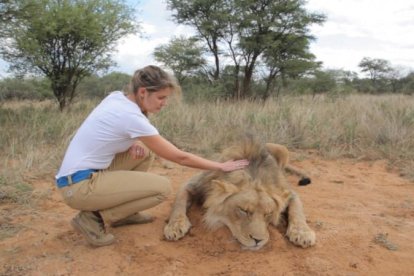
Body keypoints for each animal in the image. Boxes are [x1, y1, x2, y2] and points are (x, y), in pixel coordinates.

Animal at [163, 136, 316, 250]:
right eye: (243, 210)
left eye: (268, 214)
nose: (258, 240)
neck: (253, 175)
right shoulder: (195, 184)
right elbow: (179, 201)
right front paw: (175, 226)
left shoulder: (287, 191)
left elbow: (297, 210)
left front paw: (302, 233)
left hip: (283, 150)